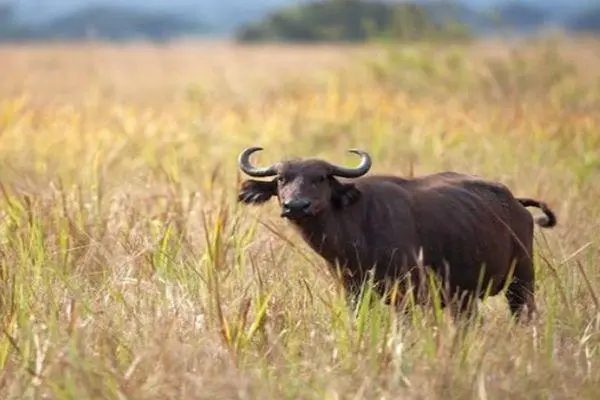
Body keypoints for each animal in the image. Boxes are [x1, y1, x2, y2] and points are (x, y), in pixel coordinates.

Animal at [237, 147, 556, 322]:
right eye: (282, 179)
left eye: (321, 178)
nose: (295, 205)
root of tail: (517, 203)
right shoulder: (354, 292)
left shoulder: (408, 294)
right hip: (465, 296)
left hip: (522, 281)